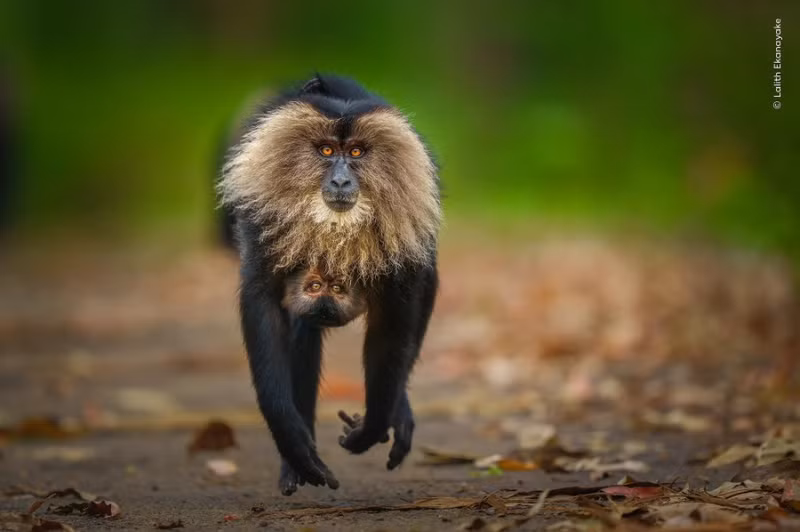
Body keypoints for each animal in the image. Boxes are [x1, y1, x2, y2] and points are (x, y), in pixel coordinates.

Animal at [218, 74, 440, 495]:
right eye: (325, 150)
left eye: (355, 152)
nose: (340, 180)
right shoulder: (264, 219)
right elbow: (264, 304)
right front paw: (292, 443)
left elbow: (393, 329)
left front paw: (373, 426)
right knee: (302, 331)